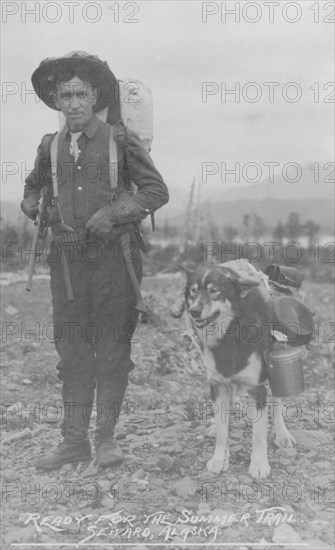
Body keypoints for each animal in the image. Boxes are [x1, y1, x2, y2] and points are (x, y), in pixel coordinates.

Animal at [181, 264, 296, 478]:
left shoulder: (258, 387)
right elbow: (223, 430)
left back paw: (282, 433)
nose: (194, 311)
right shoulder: (218, 385)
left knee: (277, 402)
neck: (230, 333)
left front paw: (259, 464)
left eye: (214, 290)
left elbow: (258, 434)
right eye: (193, 291)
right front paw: (219, 459)